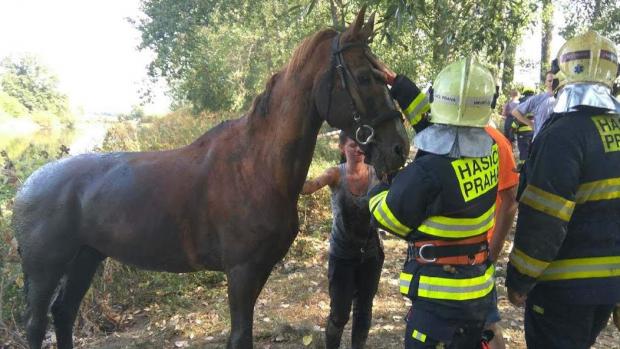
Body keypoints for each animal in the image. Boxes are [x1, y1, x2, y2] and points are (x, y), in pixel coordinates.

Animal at [12, 8, 410, 348]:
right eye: (363, 77)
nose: (398, 148)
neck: (254, 166)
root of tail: (27, 187)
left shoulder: (258, 271)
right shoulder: (241, 272)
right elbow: (240, 337)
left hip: (86, 258)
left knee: (64, 314)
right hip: (47, 270)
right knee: (37, 325)